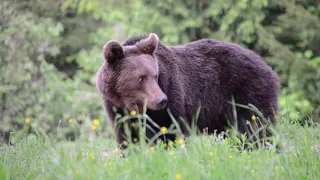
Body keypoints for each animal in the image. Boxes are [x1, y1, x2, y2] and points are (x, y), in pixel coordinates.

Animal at [95, 33, 280, 148]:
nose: (161, 99)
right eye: (141, 78)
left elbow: (171, 132)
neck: (132, 105)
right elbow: (128, 137)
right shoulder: (117, 109)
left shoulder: (172, 95)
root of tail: (268, 67)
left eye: (155, 75)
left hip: (246, 91)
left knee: (256, 127)